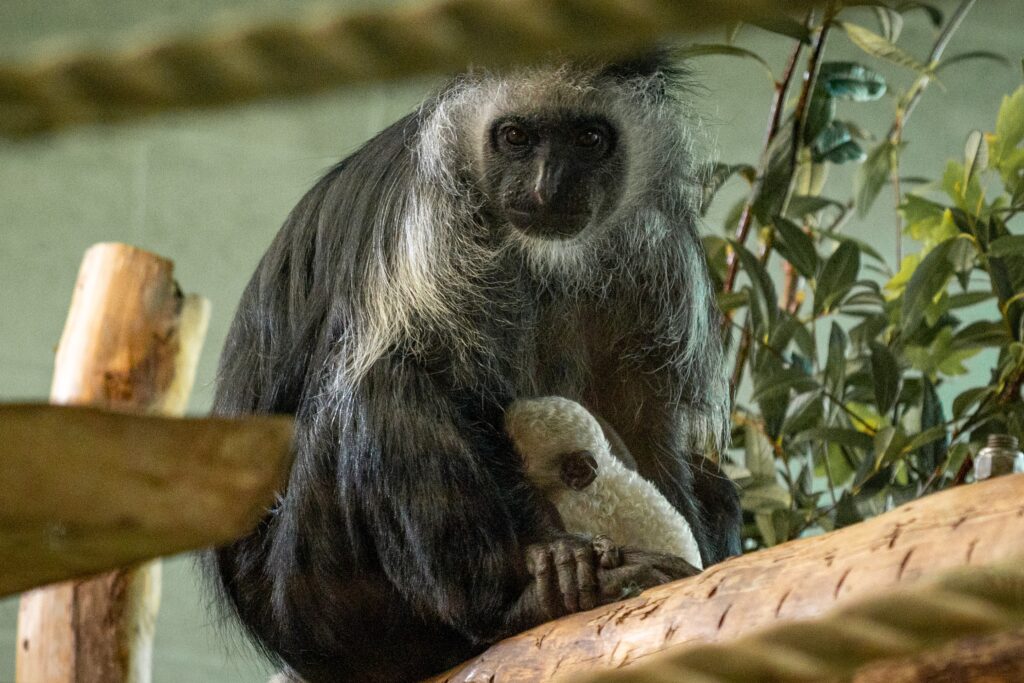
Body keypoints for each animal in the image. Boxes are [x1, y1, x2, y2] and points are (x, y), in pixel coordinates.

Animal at [208, 51, 741, 683]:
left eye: (589, 139)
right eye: (515, 137)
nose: (548, 187)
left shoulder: (655, 260)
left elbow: (641, 418)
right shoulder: (429, 227)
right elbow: (452, 384)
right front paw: (557, 558)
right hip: (308, 593)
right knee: (384, 387)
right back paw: (518, 602)